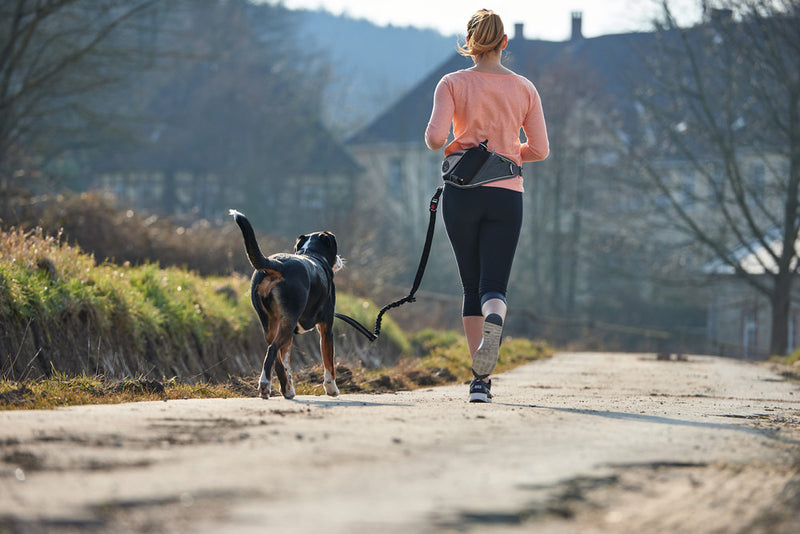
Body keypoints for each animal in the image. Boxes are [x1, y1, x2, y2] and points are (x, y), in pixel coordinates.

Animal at [231, 211, 344, 400]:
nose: (340, 260)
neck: (312, 254)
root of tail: (278, 264)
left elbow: (286, 364)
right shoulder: (326, 327)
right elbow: (329, 362)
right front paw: (331, 389)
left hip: (271, 325)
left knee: (275, 358)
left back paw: (285, 390)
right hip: (288, 323)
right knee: (271, 350)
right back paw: (265, 385)